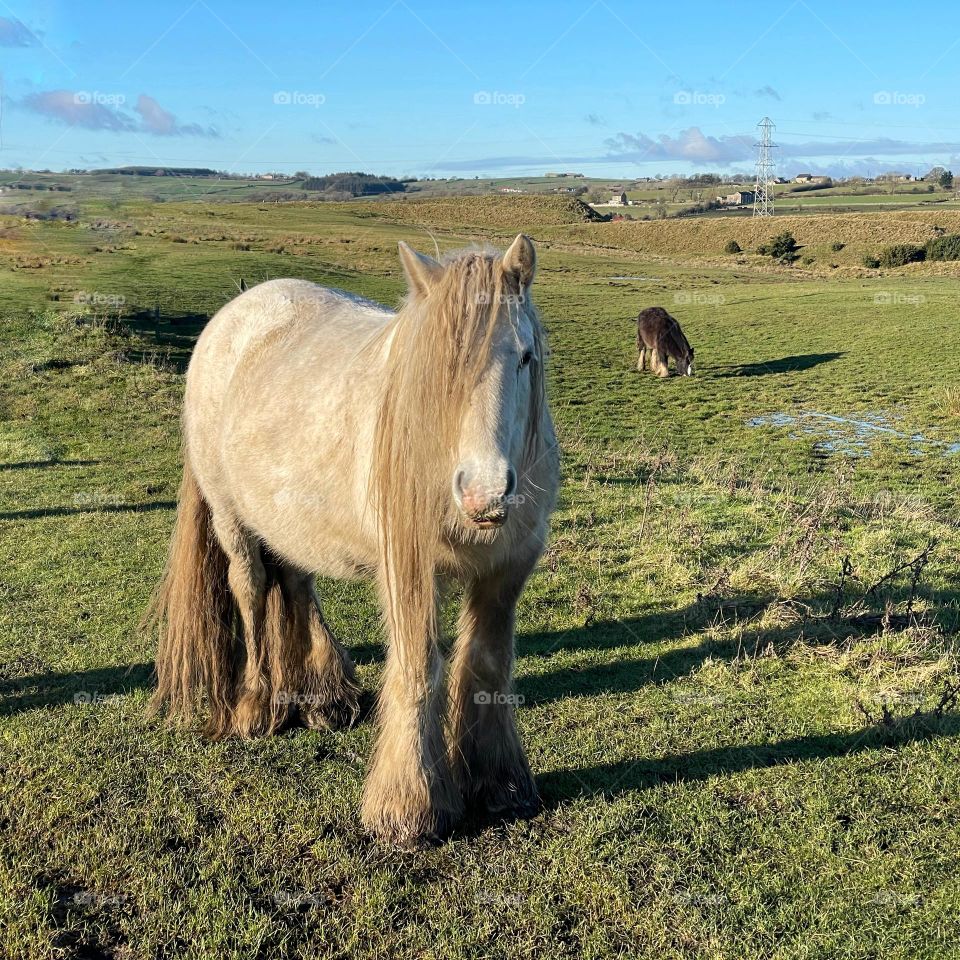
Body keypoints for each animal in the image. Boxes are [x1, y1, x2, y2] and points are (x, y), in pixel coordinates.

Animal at [146, 234, 560, 848]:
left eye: (525, 357)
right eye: (434, 369)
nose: (483, 494)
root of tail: (235, 313)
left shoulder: (506, 568)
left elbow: (486, 664)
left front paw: (498, 783)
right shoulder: (406, 568)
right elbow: (418, 667)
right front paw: (408, 807)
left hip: (292, 519)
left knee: (296, 584)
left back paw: (321, 697)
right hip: (232, 520)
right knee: (251, 590)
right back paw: (256, 704)